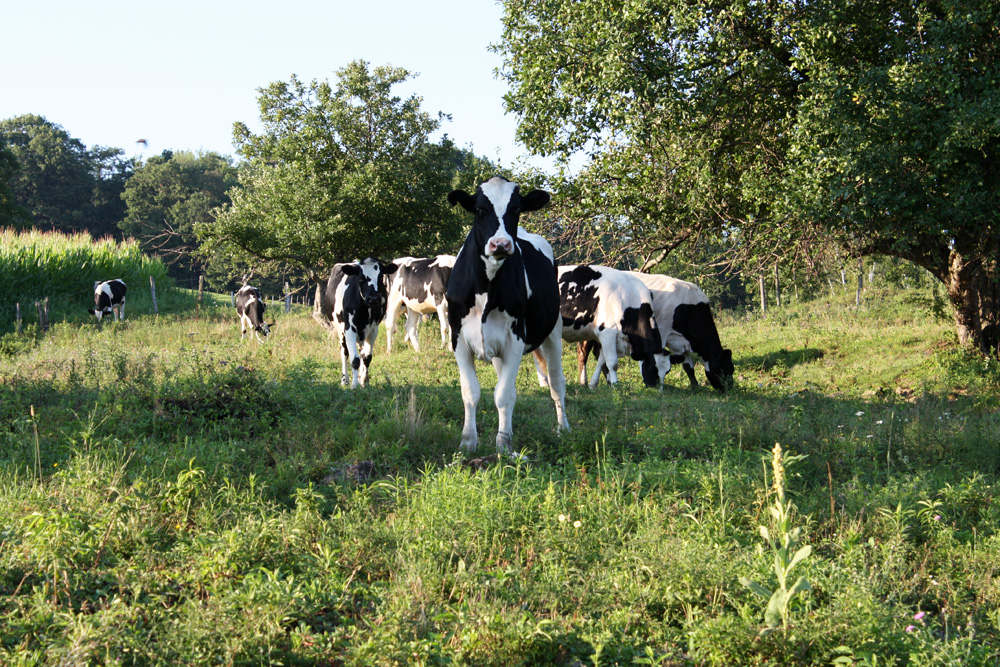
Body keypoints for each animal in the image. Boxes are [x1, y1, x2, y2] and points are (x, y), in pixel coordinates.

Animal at [315, 257, 398, 388]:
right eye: (360, 279)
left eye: (380, 277)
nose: (373, 298)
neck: (365, 311)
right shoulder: (349, 330)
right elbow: (354, 359)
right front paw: (354, 385)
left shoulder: (373, 330)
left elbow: (367, 357)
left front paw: (364, 381)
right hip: (340, 330)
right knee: (344, 352)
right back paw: (345, 379)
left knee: (362, 353)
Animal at [446, 176, 569, 455]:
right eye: (479, 210)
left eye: (516, 210)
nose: (500, 244)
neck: (486, 287)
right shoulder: (458, 338)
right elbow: (471, 392)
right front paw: (468, 442)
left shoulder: (515, 339)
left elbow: (503, 395)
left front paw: (503, 444)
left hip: (553, 330)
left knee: (557, 383)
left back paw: (563, 429)